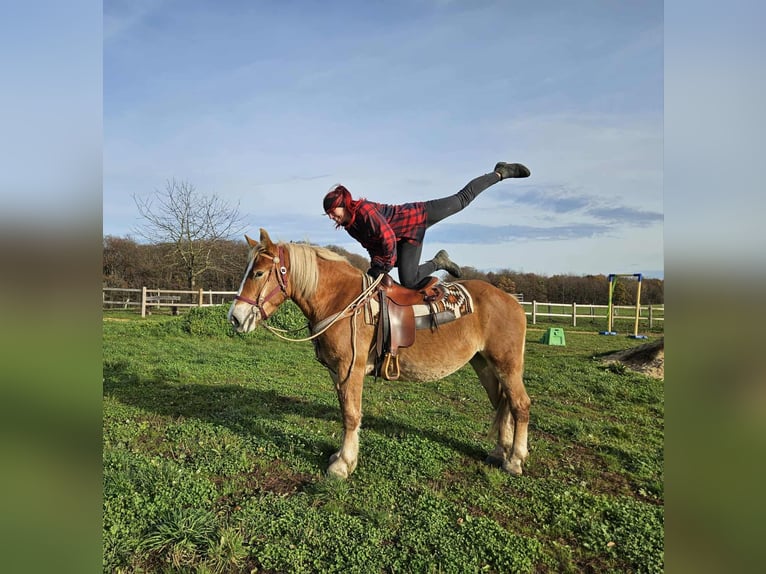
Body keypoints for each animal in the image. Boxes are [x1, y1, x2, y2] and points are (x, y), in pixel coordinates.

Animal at [228, 229, 530, 479]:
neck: (341, 301)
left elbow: (351, 414)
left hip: (506, 365)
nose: (236, 317)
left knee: (520, 405)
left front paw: (342, 465)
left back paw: (515, 460)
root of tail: (512, 301)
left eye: (258, 273)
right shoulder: (337, 372)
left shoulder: (351, 369)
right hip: (484, 364)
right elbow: (346, 411)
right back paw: (499, 452)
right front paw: (342, 457)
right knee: (502, 405)